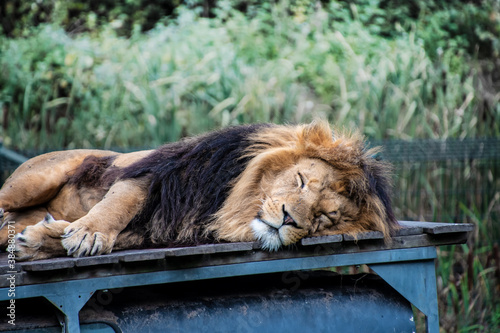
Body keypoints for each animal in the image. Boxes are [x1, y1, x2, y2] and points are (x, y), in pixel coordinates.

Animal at [0, 120, 398, 260]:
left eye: (326, 216)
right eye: (300, 180)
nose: (288, 220)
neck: (230, 204)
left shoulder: (155, 230)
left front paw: (40, 239)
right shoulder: (154, 175)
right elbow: (117, 205)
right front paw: (88, 233)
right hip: (32, 181)